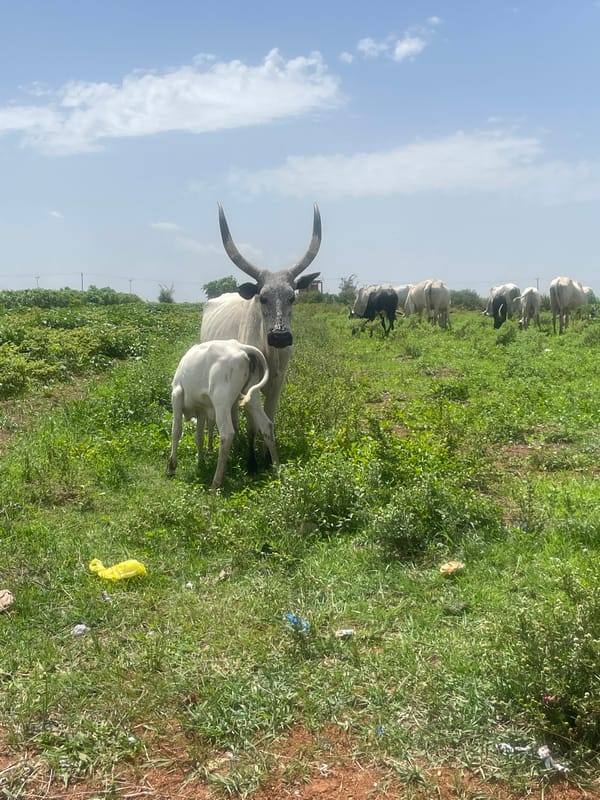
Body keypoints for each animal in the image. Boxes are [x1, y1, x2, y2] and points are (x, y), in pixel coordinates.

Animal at [166, 340, 278, 490]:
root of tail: (242, 347)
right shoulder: (201, 410)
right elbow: (199, 437)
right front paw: (201, 463)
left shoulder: (177, 395)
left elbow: (176, 431)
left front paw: (171, 466)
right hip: (252, 396)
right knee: (266, 425)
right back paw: (278, 470)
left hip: (221, 402)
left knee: (227, 434)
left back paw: (215, 483)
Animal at [200, 204, 321, 471]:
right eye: (262, 297)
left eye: (292, 297)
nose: (280, 337)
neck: (269, 352)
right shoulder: (250, 387)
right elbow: (253, 424)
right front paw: (251, 461)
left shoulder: (278, 383)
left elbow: (270, 417)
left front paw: (266, 458)